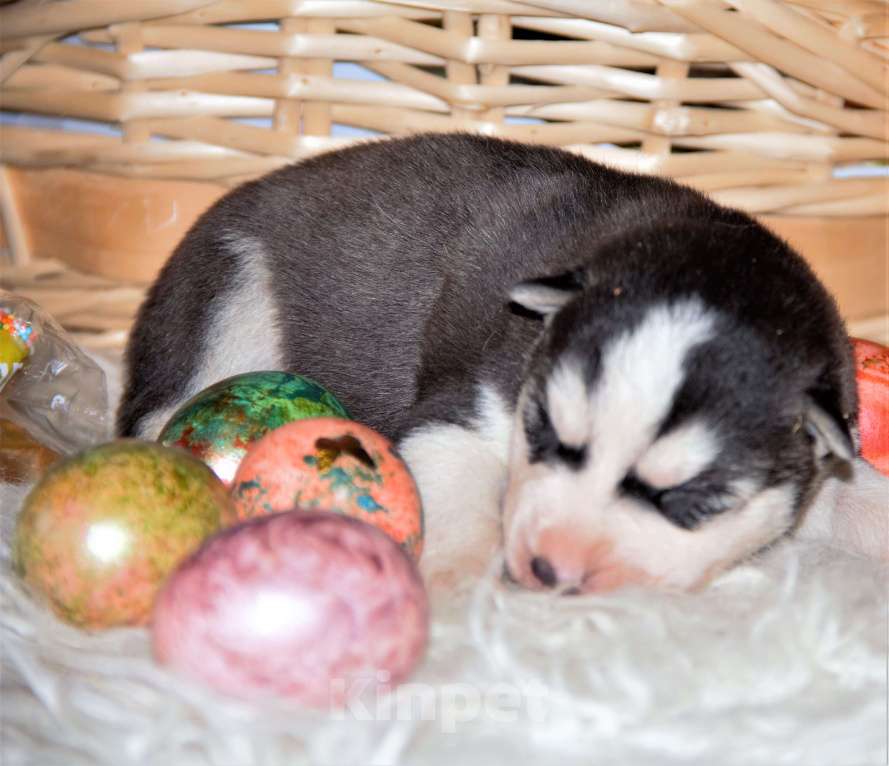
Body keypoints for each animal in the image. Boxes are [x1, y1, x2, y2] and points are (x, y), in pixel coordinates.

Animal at [116, 134, 868, 592]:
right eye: (544, 433)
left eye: (692, 501)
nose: (546, 569)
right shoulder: (463, 412)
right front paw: (447, 584)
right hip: (226, 298)